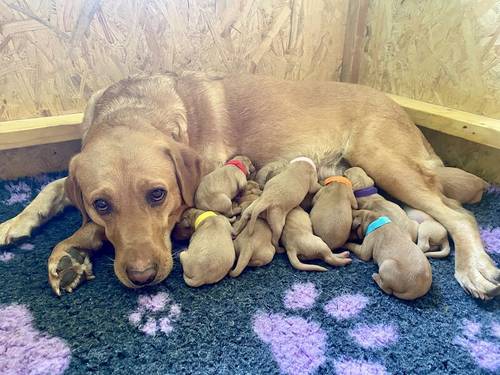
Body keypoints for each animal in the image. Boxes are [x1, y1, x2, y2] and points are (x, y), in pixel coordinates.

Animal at [0, 72, 494, 300]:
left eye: (158, 195)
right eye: (102, 203)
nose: (140, 277)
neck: (133, 110)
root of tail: (400, 108)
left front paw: (73, 246)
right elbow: (55, 187)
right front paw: (23, 223)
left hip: (382, 158)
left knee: (458, 215)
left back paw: (474, 267)